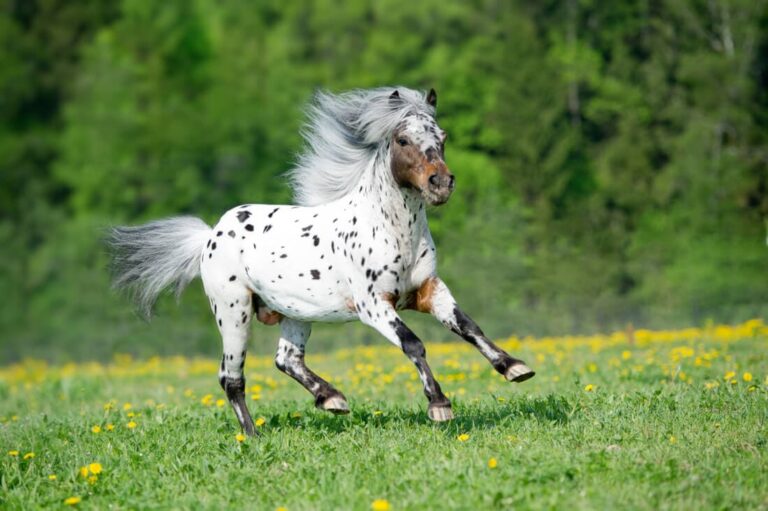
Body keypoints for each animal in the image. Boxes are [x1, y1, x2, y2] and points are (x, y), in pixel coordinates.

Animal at [108, 87, 535, 435]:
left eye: (442, 138)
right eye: (402, 139)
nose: (441, 184)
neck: (391, 230)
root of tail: (210, 235)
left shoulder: (430, 290)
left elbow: (468, 327)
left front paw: (515, 367)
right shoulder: (374, 306)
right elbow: (414, 344)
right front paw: (439, 405)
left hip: (295, 313)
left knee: (286, 359)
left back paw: (332, 399)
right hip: (233, 312)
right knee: (231, 377)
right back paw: (253, 436)